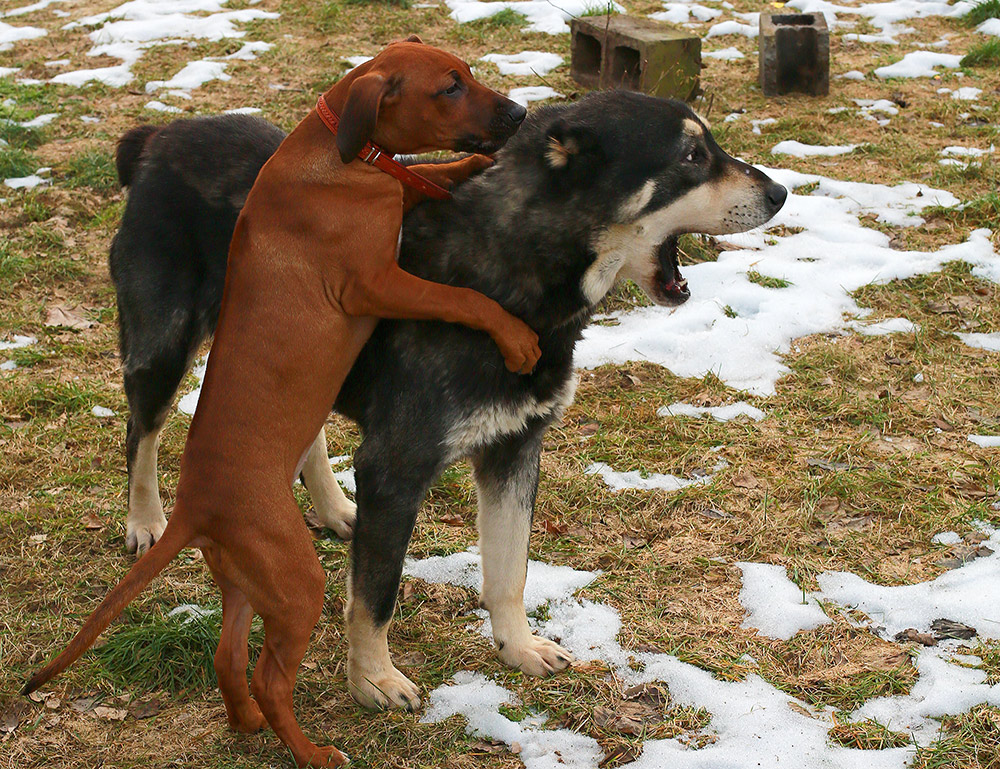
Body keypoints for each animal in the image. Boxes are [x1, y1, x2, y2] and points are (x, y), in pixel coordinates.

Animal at [25, 39, 540, 764]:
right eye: (449, 88)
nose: (519, 114)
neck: (340, 154)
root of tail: (196, 511)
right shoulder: (376, 282)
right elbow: (462, 297)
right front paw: (517, 336)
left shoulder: (397, 196)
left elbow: (428, 172)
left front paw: (473, 163)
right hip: (278, 549)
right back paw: (313, 750)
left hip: (248, 579)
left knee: (228, 656)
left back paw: (245, 721)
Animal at [107, 91, 780, 708]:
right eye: (692, 156)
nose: (780, 194)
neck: (512, 267)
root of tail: (161, 137)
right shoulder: (395, 469)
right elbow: (376, 595)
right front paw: (373, 681)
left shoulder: (516, 450)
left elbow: (509, 571)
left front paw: (517, 648)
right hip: (162, 348)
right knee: (141, 434)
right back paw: (146, 521)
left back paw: (332, 508)